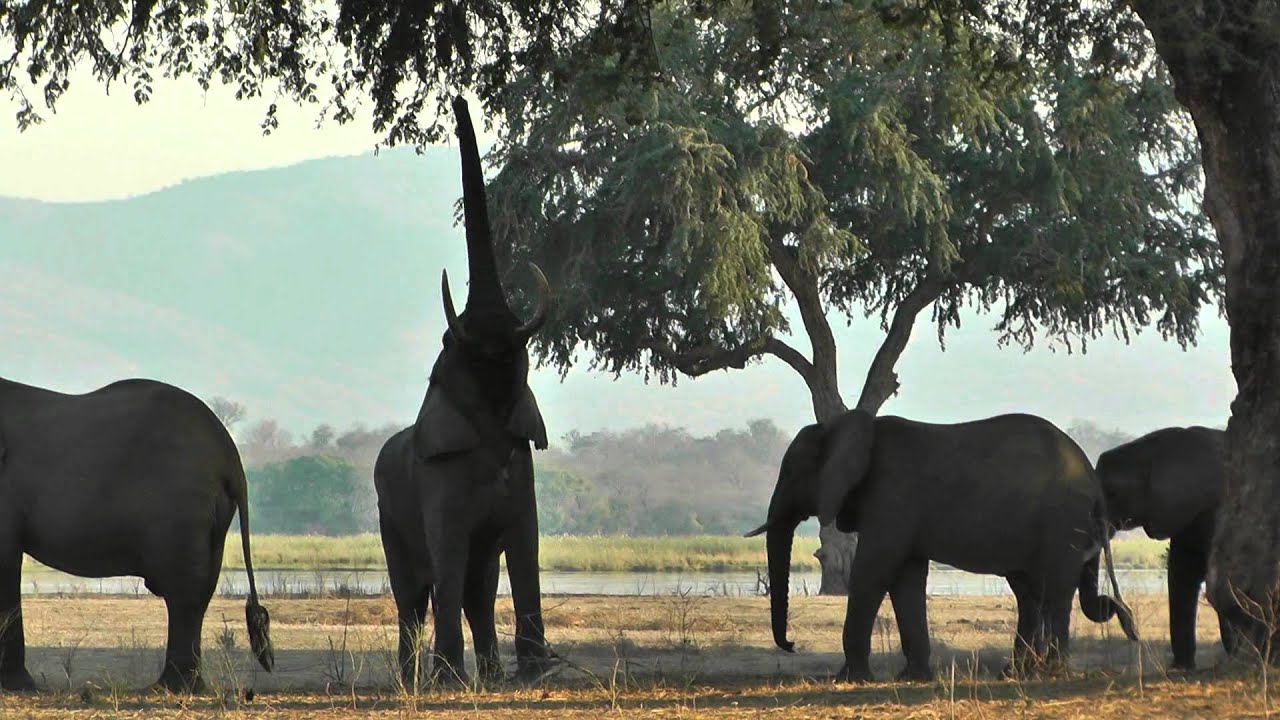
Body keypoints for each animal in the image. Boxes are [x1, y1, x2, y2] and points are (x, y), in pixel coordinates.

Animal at [0, 376, 274, 692]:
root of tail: (232, 460)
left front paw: (15, 686)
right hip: (211, 515)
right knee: (200, 588)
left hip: (180, 506)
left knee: (184, 591)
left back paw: (170, 688)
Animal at [374, 95, 555, 690]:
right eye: (451, 341)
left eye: (523, 348)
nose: (456, 99)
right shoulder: (438, 481)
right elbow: (447, 556)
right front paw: (450, 680)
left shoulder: (523, 469)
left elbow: (525, 547)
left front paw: (538, 672)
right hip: (387, 517)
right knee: (413, 595)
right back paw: (416, 680)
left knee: (478, 590)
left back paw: (493, 676)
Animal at [747, 409, 1138, 682]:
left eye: (791, 472)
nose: (792, 644)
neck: (854, 429)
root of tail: (1091, 477)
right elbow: (906, 579)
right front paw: (913, 678)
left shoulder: (891, 497)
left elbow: (872, 571)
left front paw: (850, 680)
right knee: (1030, 593)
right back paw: (1017, 674)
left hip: (1061, 522)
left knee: (1054, 591)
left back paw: (1050, 672)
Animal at [1094, 426, 1235, 670]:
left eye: (1112, 492)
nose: (1134, 633)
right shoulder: (1187, 514)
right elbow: (1181, 573)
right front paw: (1180, 668)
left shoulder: (1216, 509)